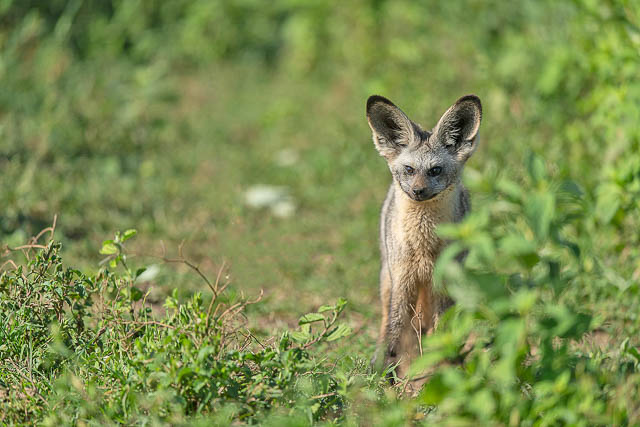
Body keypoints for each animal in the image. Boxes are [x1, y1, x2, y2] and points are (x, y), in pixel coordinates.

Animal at [366, 94, 482, 382]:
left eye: (435, 170)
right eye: (409, 169)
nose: (418, 191)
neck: (422, 247)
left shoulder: (443, 282)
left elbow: (442, 329)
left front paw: (445, 367)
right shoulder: (402, 278)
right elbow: (395, 326)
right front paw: (384, 370)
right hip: (388, 280)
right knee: (387, 321)